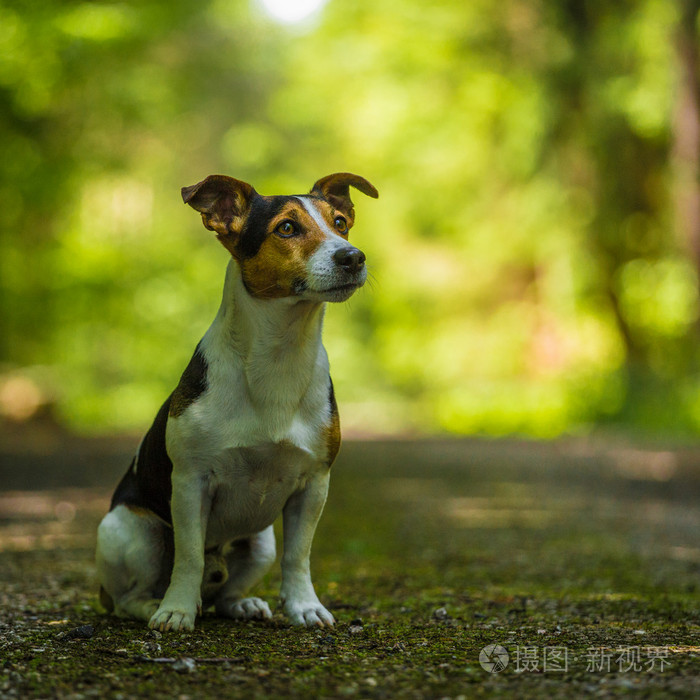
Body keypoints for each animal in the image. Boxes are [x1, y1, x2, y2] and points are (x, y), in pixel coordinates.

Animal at [95, 172, 378, 632]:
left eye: (340, 223)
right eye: (286, 228)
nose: (353, 257)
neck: (280, 356)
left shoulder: (314, 484)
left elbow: (298, 556)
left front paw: (304, 606)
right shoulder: (190, 483)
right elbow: (189, 556)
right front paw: (176, 611)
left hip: (259, 544)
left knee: (226, 592)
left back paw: (241, 604)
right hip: (130, 530)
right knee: (128, 597)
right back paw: (156, 606)